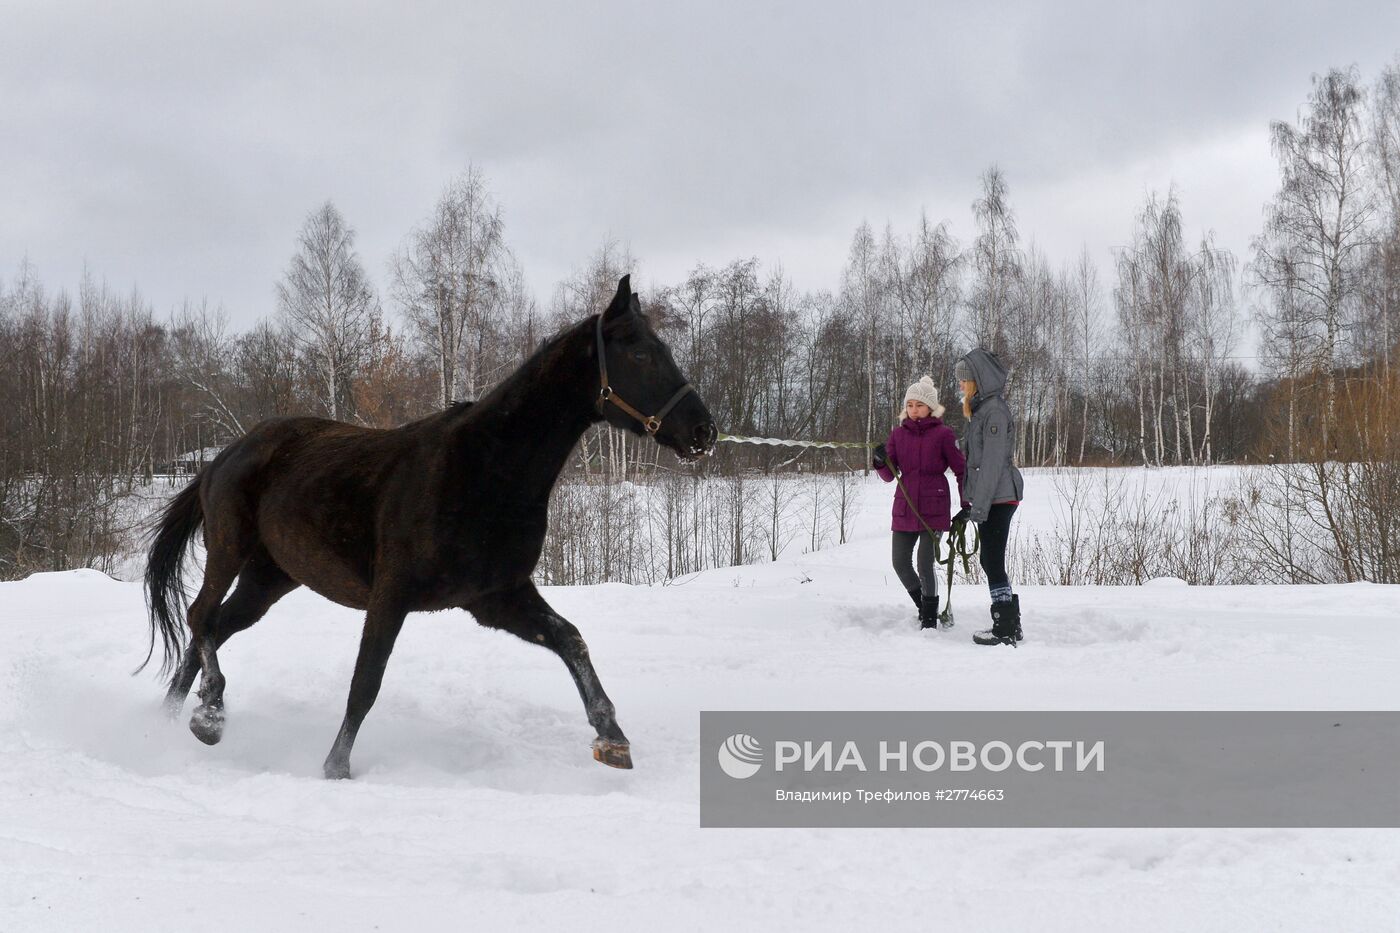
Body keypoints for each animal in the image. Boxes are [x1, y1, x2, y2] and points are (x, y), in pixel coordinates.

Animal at [143, 275, 716, 778]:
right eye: (640, 355)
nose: (703, 431)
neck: (483, 472)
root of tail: (224, 455)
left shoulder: (496, 597)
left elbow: (571, 639)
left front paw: (612, 738)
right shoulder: (391, 595)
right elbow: (365, 682)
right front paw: (336, 768)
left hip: (270, 577)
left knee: (212, 629)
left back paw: (177, 717)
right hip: (230, 548)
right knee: (200, 617)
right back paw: (208, 716)